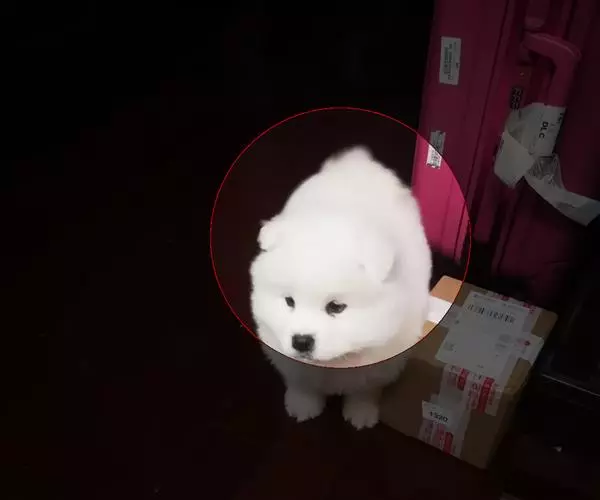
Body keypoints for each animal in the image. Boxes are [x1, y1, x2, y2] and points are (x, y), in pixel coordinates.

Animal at [249, 146, 432, 429]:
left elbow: (366, 389)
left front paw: (361, 413)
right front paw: (303, 405)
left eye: (336, 307)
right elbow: (301, 382)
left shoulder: (382, 358)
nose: (301, 341)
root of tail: (355, 162)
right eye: (289, 301)